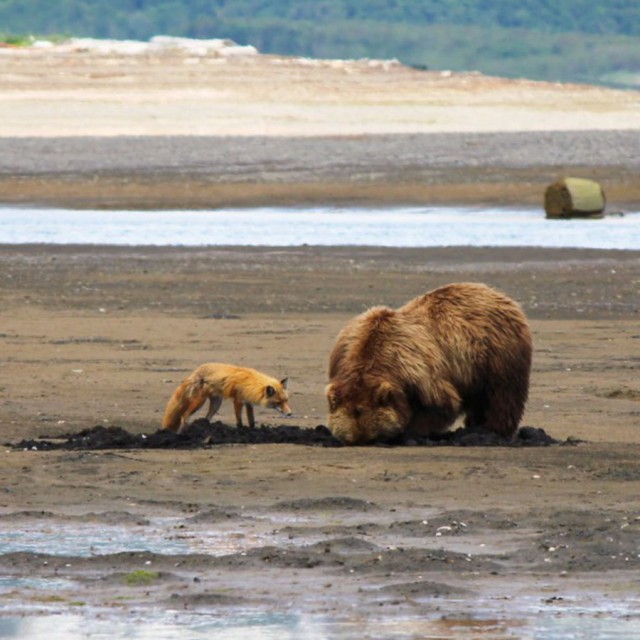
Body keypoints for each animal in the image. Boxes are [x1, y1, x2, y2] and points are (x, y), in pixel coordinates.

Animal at [161, 362, 292, 432]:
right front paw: (240, 430)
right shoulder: (238, 400)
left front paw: (252, 430)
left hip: (216, 404)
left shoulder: (248, 403)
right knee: (184, 416)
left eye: (286, 401)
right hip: (199, 402)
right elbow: (239, 420)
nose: (290, 414)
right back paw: (182, 433)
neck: (252, 384)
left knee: (206, 418)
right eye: (278, 402)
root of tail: (196, 371)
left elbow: (251, 420)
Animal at [328, 284, 532, 444]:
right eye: (351, 439)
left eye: (373, 436)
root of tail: (499, 295)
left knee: (503, 395)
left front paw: (410, 430)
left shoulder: (419, 371)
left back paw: (494, 431)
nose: (365, 441)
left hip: (498, 354)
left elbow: (440, 404)